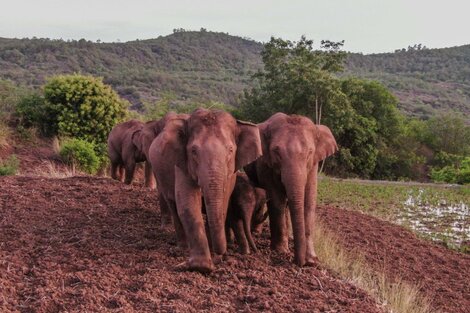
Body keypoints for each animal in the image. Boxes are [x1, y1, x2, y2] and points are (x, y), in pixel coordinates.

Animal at [149, 109, 262, 270]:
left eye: (231, 150)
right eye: (193, 151)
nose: (221, 254)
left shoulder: (231, 172)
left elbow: (223, 202)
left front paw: (213, 255)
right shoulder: (183, 164)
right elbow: (188, 203)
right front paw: (201, 267)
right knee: (173, 204)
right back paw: (182, 247)